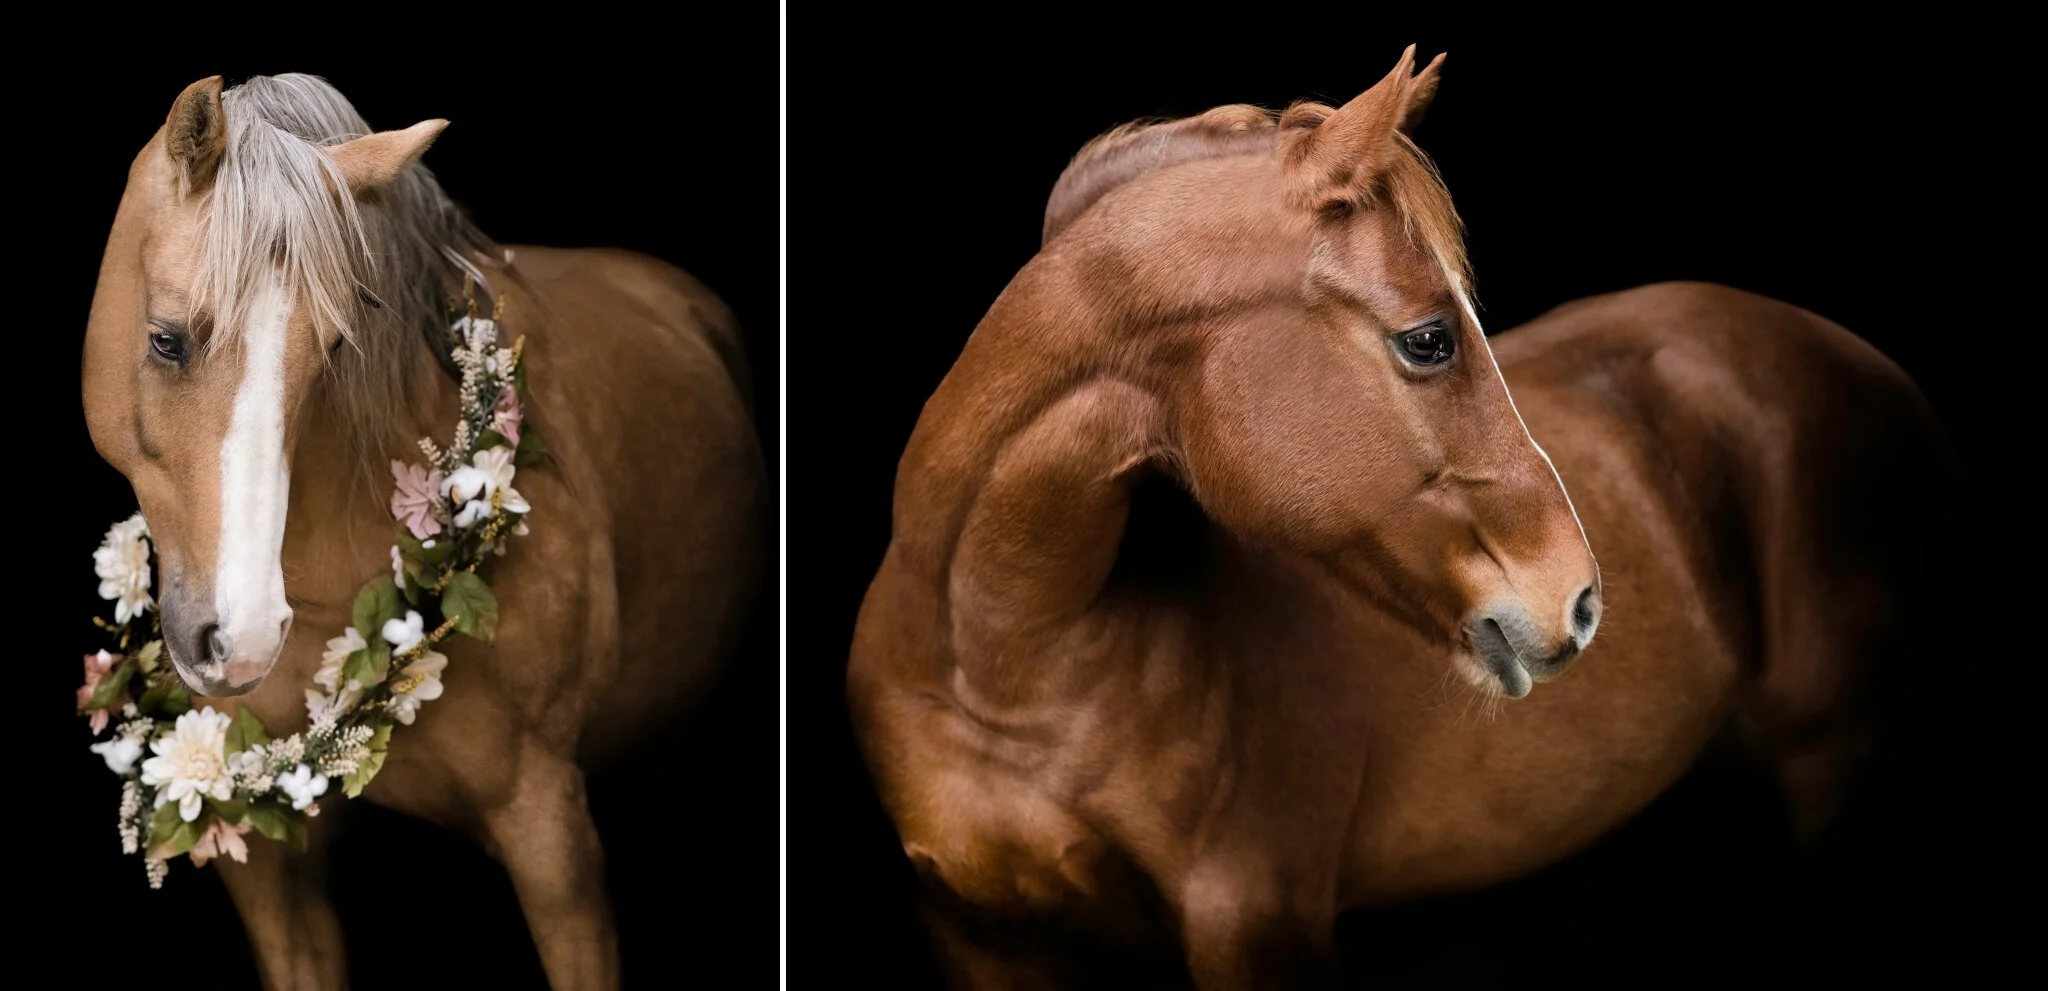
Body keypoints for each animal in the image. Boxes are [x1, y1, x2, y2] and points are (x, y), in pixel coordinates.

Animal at [845, 46, 1958, 989]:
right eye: (1429, 338)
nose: (1579, 598)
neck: (1008, 665)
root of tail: (1867, 363)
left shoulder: (1255, 925)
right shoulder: (982, 935)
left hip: (1830, 766)